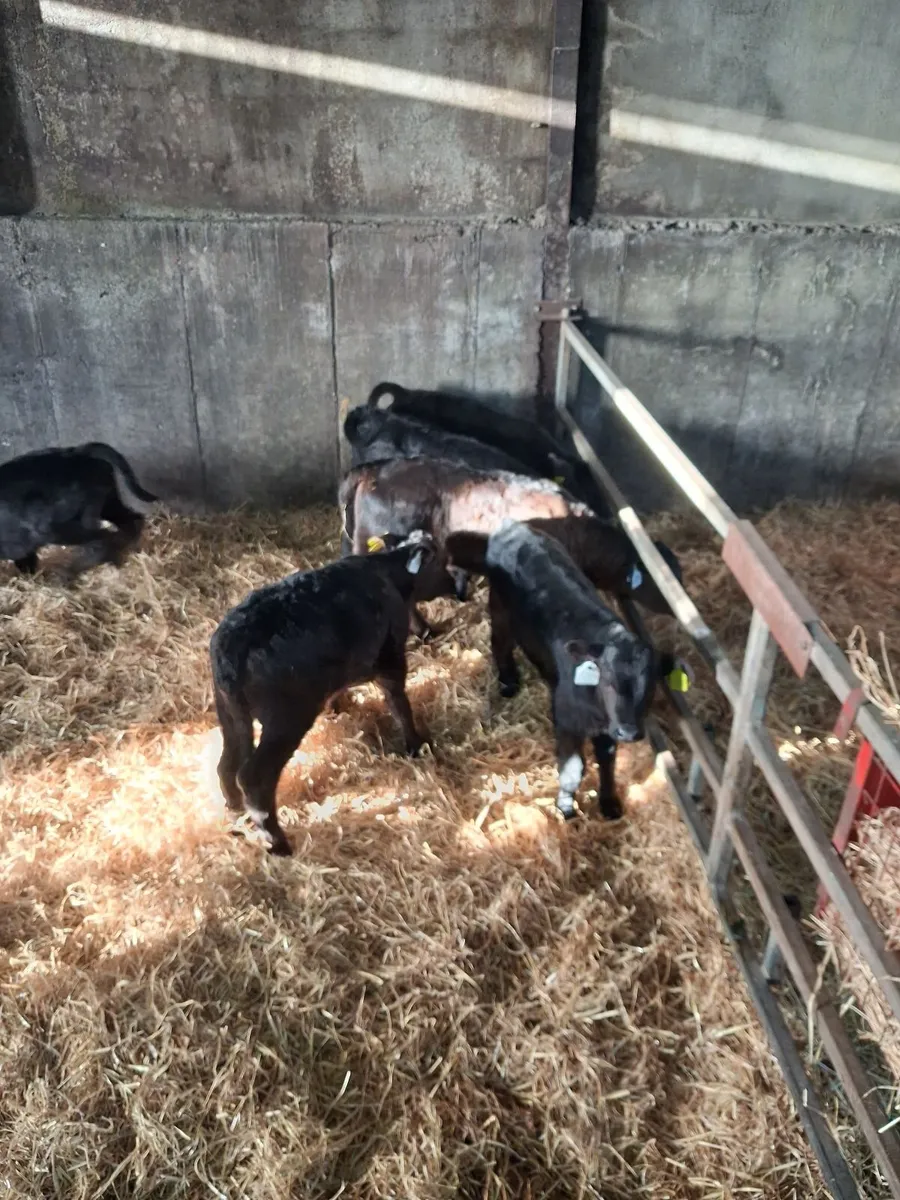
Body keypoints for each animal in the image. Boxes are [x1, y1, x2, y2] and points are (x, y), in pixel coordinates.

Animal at [0, 442, 157, 577]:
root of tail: (78, 452)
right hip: (109, 503)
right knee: (132, 520)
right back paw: (130, 553)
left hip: (66, 528)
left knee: (103, 538)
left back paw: (68, 573)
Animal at [209, 532, 455, 856]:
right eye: (440, 561)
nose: (459, 587)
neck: (390, 574)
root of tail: (231, 649)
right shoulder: (390, 657)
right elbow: (399, 703)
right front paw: (416, 745)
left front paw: (339, 706)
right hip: (285, 718)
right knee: (254, 777)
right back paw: (278, 842)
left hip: (229, 712)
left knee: (226, 766)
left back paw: (237, 818)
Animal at [476, 520, 674, 821]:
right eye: (607, 681)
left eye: (650, 686)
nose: (629, 731)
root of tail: (515, 526)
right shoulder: (566, 721)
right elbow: (573, 768)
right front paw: (565, 808)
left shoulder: (608, 729)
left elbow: (607, 759)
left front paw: (609, 802)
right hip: (499, 608)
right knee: (499, 642)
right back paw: (508, 682)